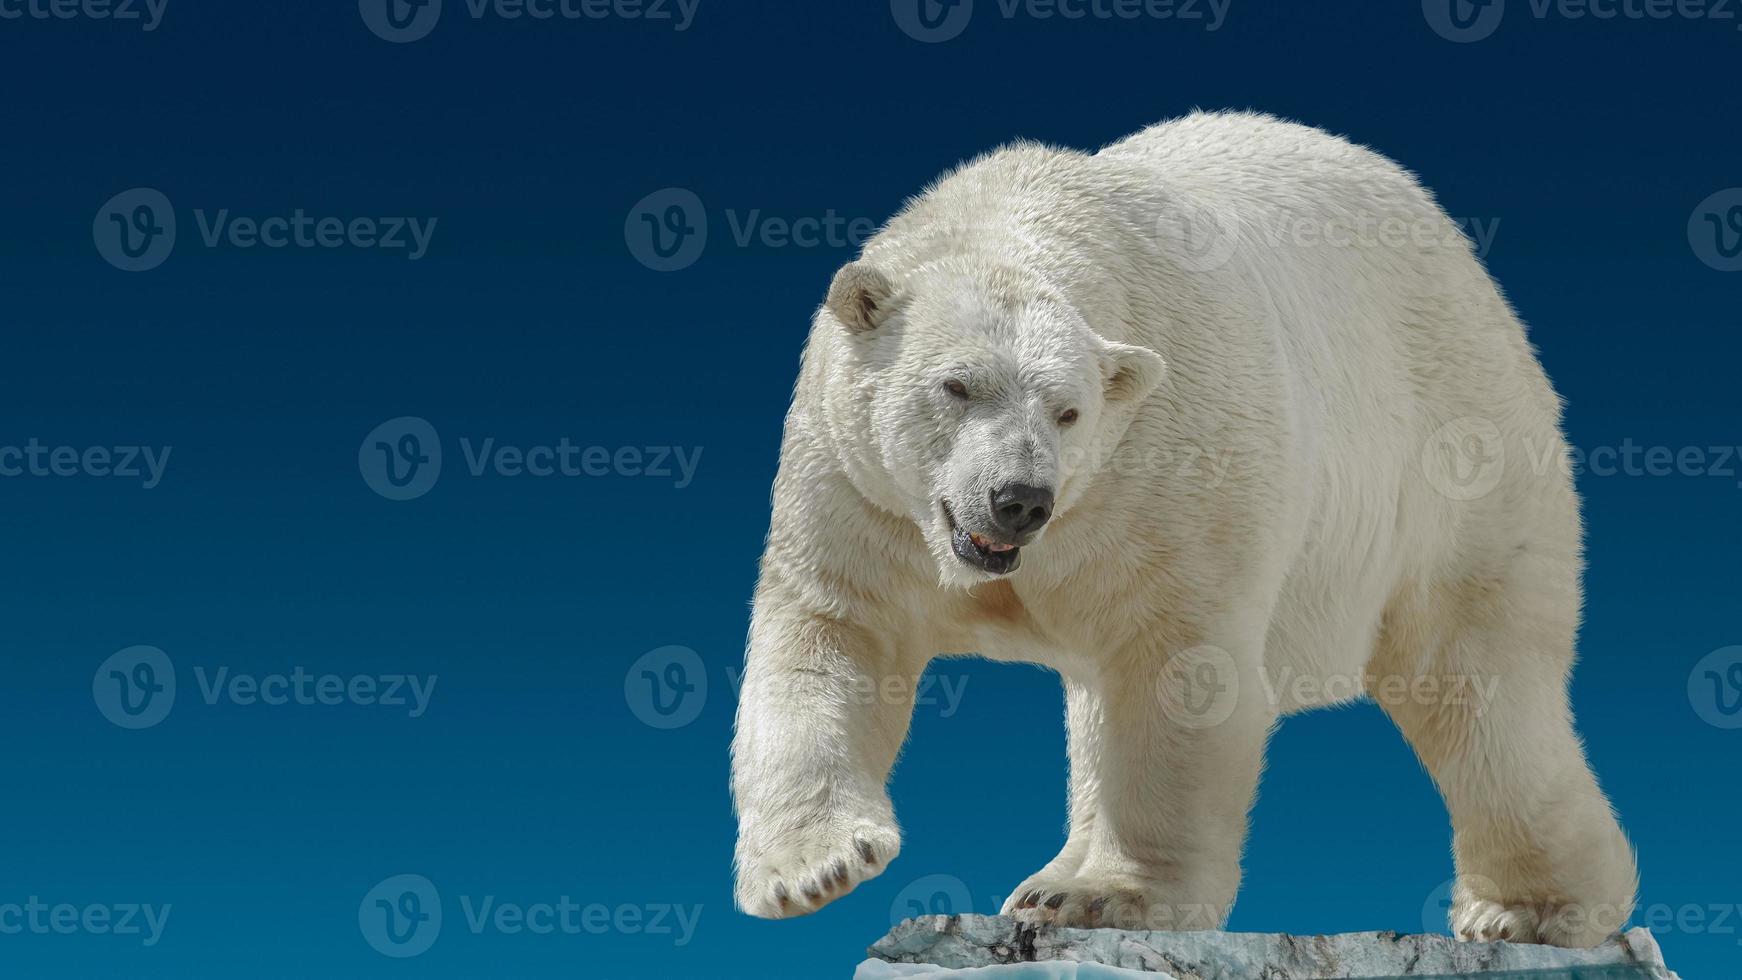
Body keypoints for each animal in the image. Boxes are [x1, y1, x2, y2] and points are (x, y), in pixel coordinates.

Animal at [728, 111, 1637, 946]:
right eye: (955, 386)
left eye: (1069, 411)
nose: (1020, 498)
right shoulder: (858, 487)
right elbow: (835, 635)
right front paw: (817, 867)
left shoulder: (1162, 470)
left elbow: (1176, 665)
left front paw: (1109, 896)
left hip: (1455, 458)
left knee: (1476, 680)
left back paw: (1534, 908)